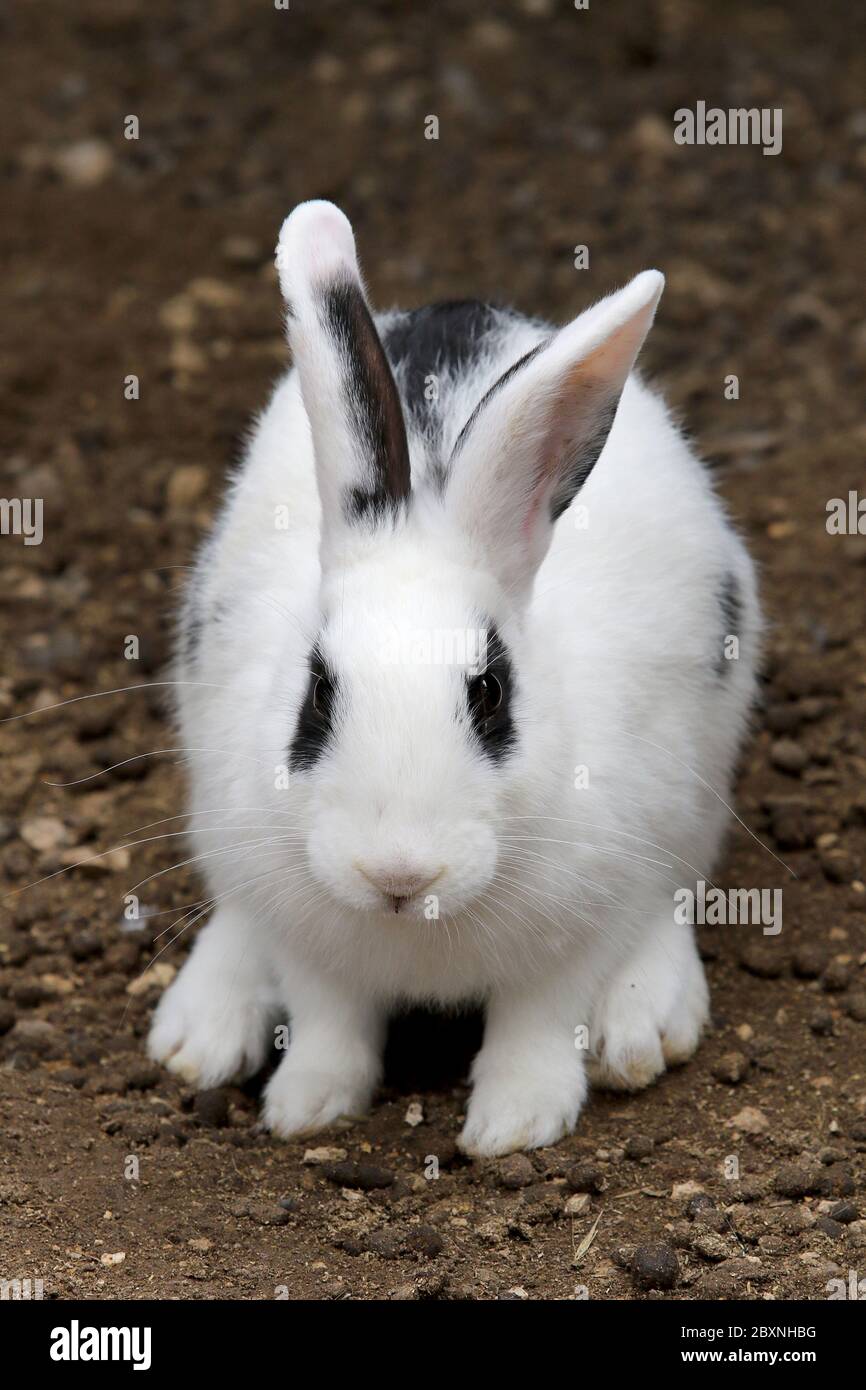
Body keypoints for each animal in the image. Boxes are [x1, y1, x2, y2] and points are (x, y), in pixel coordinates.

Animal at [147, 201, 756, 1156]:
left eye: (489, 693)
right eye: (318, 694)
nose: (398, 874)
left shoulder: (578, 930)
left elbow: (537, 1024)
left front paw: (515, 1124)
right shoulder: (309, 943)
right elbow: (330, 1023)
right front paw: (307, 1106)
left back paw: (644, 1027)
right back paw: (199, 1034)